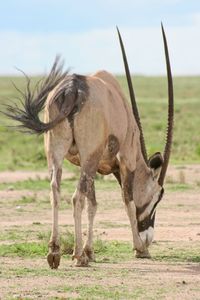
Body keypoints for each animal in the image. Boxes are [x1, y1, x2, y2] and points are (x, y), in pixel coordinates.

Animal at [3, 25, 174, 268]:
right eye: (159, 196)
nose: (148, 238)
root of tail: (73, 89)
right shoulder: (125, 161)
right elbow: (127, 201)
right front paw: (139, 249)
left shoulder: (93, 165)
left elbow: (93, 203)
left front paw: (91, 250)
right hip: (88, 155)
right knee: (76, 197)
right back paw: (77, 256)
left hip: (57, 153)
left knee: (55, 190)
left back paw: (54, 252)